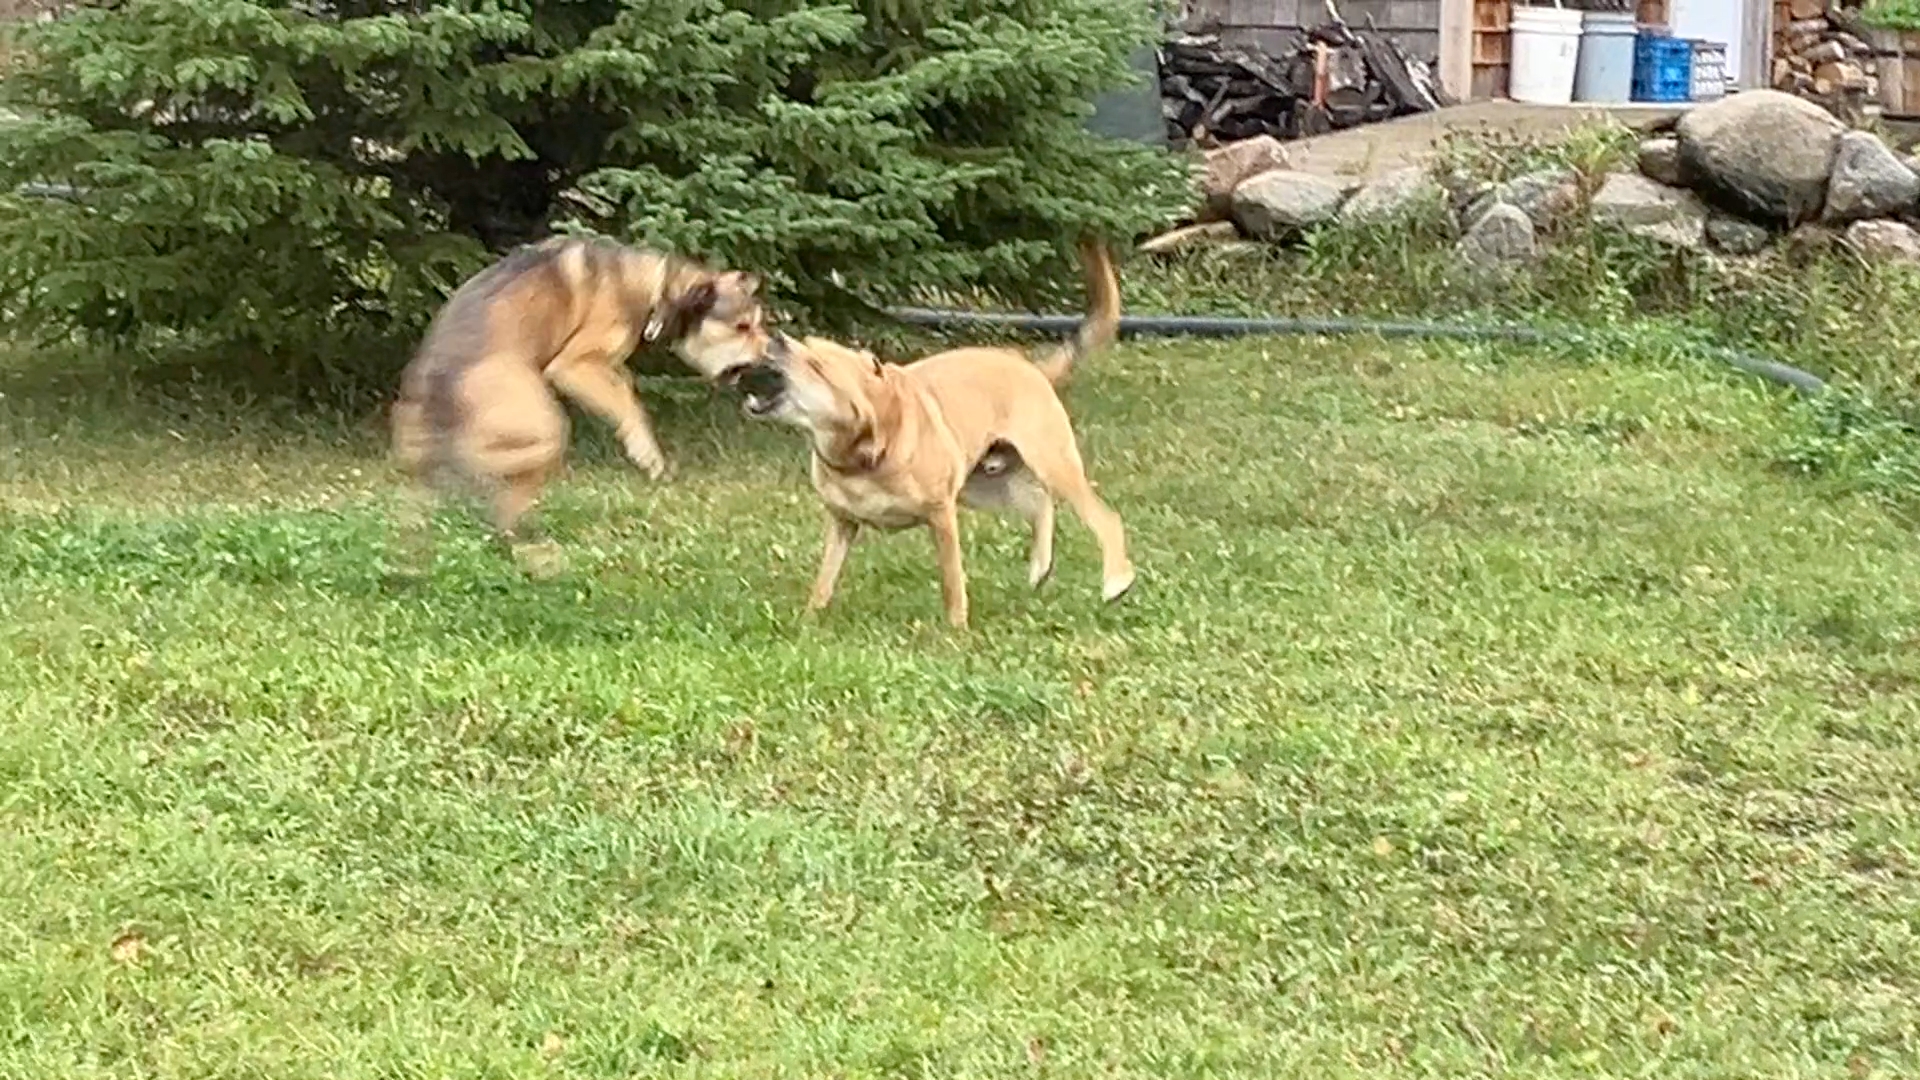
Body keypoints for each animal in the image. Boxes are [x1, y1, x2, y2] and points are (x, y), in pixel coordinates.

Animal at [389, 235, 769, 563]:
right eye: (742, 327)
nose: (771, 352)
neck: (654, 286)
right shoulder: (573, 366)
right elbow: (629, 406)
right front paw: (647, 454)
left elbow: (624, 387)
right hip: (542, 422)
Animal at [734, 238, 1132, 628]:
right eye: (806, 344)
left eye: (817, 365)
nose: (775, 336)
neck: (867, 452)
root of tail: (1032, 367)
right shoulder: (842, 522)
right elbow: (823, 582)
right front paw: (807, 623)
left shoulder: (941, 515)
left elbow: (952, 582)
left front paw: (956, 630)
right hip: (985, 484)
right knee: (1040, 502)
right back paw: (1040, 567)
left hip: (1051, 463)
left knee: (1103, 517)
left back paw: (1116, 580)